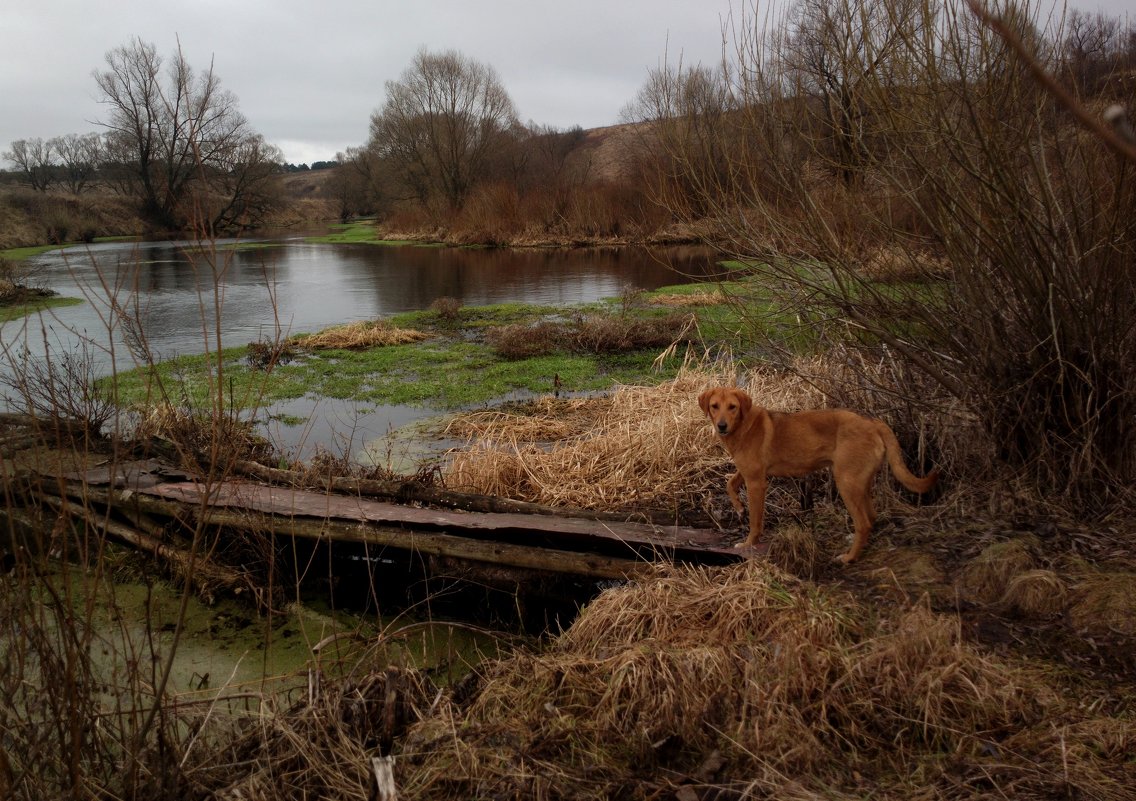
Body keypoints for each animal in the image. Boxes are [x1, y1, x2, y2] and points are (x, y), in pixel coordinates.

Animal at [699, 386, 940, 563]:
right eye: (714, 406)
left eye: (732, 407)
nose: (721, 426)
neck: (743, 425)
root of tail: (873, 422)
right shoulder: (747, 472)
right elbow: (730, 483)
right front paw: (739, 507)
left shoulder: (756, 481)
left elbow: (756, 521)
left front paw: (749, 543)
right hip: (861, 482)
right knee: (871, 517)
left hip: (846, 482)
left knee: (864, 523)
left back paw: (849, 557)